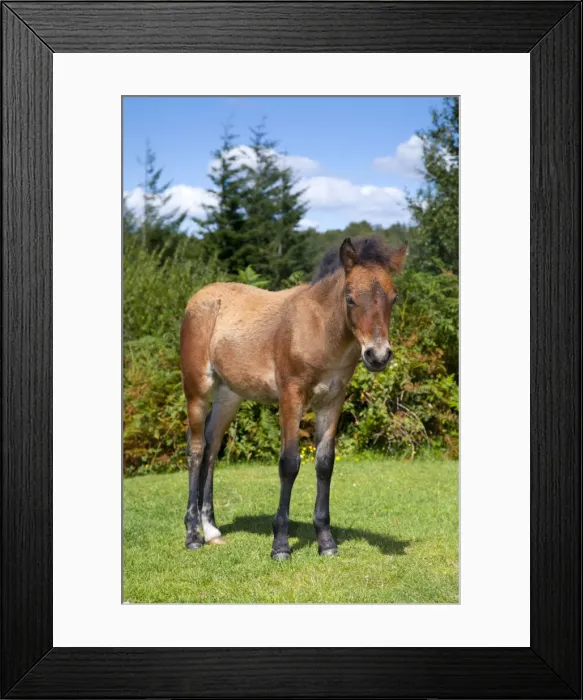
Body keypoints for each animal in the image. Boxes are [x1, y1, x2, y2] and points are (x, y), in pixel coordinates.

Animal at [180, 236, 408, 559]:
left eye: (393, 298)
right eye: (350, 298)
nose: (378, 356)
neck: (320, 331)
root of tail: (199, 297)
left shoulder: (332, 401)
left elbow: (325, 463)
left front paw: (326, 541)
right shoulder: (291, 397)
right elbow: (289, 463)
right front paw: (280, 544)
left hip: (229, 396)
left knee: (212, 448)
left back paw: (212, 530)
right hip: (197, 390)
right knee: (197, 449)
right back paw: (193, 535)